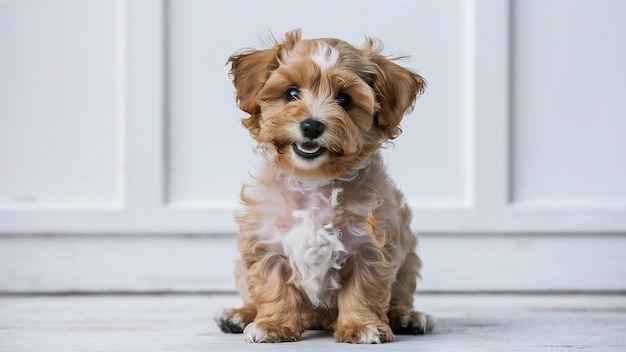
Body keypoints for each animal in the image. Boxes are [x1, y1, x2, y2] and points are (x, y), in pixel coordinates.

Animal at [212, 30, 432, 344]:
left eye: (344, 99)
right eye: (291, 93)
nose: (312, 126)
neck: (314, 181)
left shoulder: (371, 247)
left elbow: (362, 290)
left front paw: (360, 326)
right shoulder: (265, 243)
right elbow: (273, 287)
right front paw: (273, 325)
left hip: (409, 260)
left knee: (401, 294)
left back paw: (406, 316)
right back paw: (240, 314)